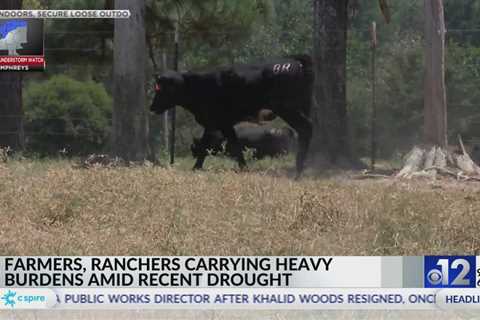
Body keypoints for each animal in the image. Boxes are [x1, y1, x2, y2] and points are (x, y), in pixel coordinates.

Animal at [151, 53, 316, 176]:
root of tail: (295, 61)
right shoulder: (221, 124)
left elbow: (211, 146)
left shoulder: (216, 123)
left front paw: (196, 167)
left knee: (306, 128)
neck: (195, 84)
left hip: (288, 109)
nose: (151, 107)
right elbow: (229, 144)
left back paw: (298, 171)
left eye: (160, 89)